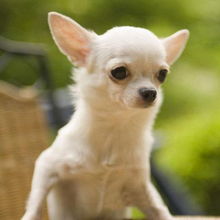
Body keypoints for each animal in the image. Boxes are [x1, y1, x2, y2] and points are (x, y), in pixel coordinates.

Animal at [21, 12, 189, 220]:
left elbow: (160, 210)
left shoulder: (140, 186)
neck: (115, 126)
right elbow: (35, 203)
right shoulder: (46, 166)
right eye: (119, 72)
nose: (150, 92)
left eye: (162, 74)